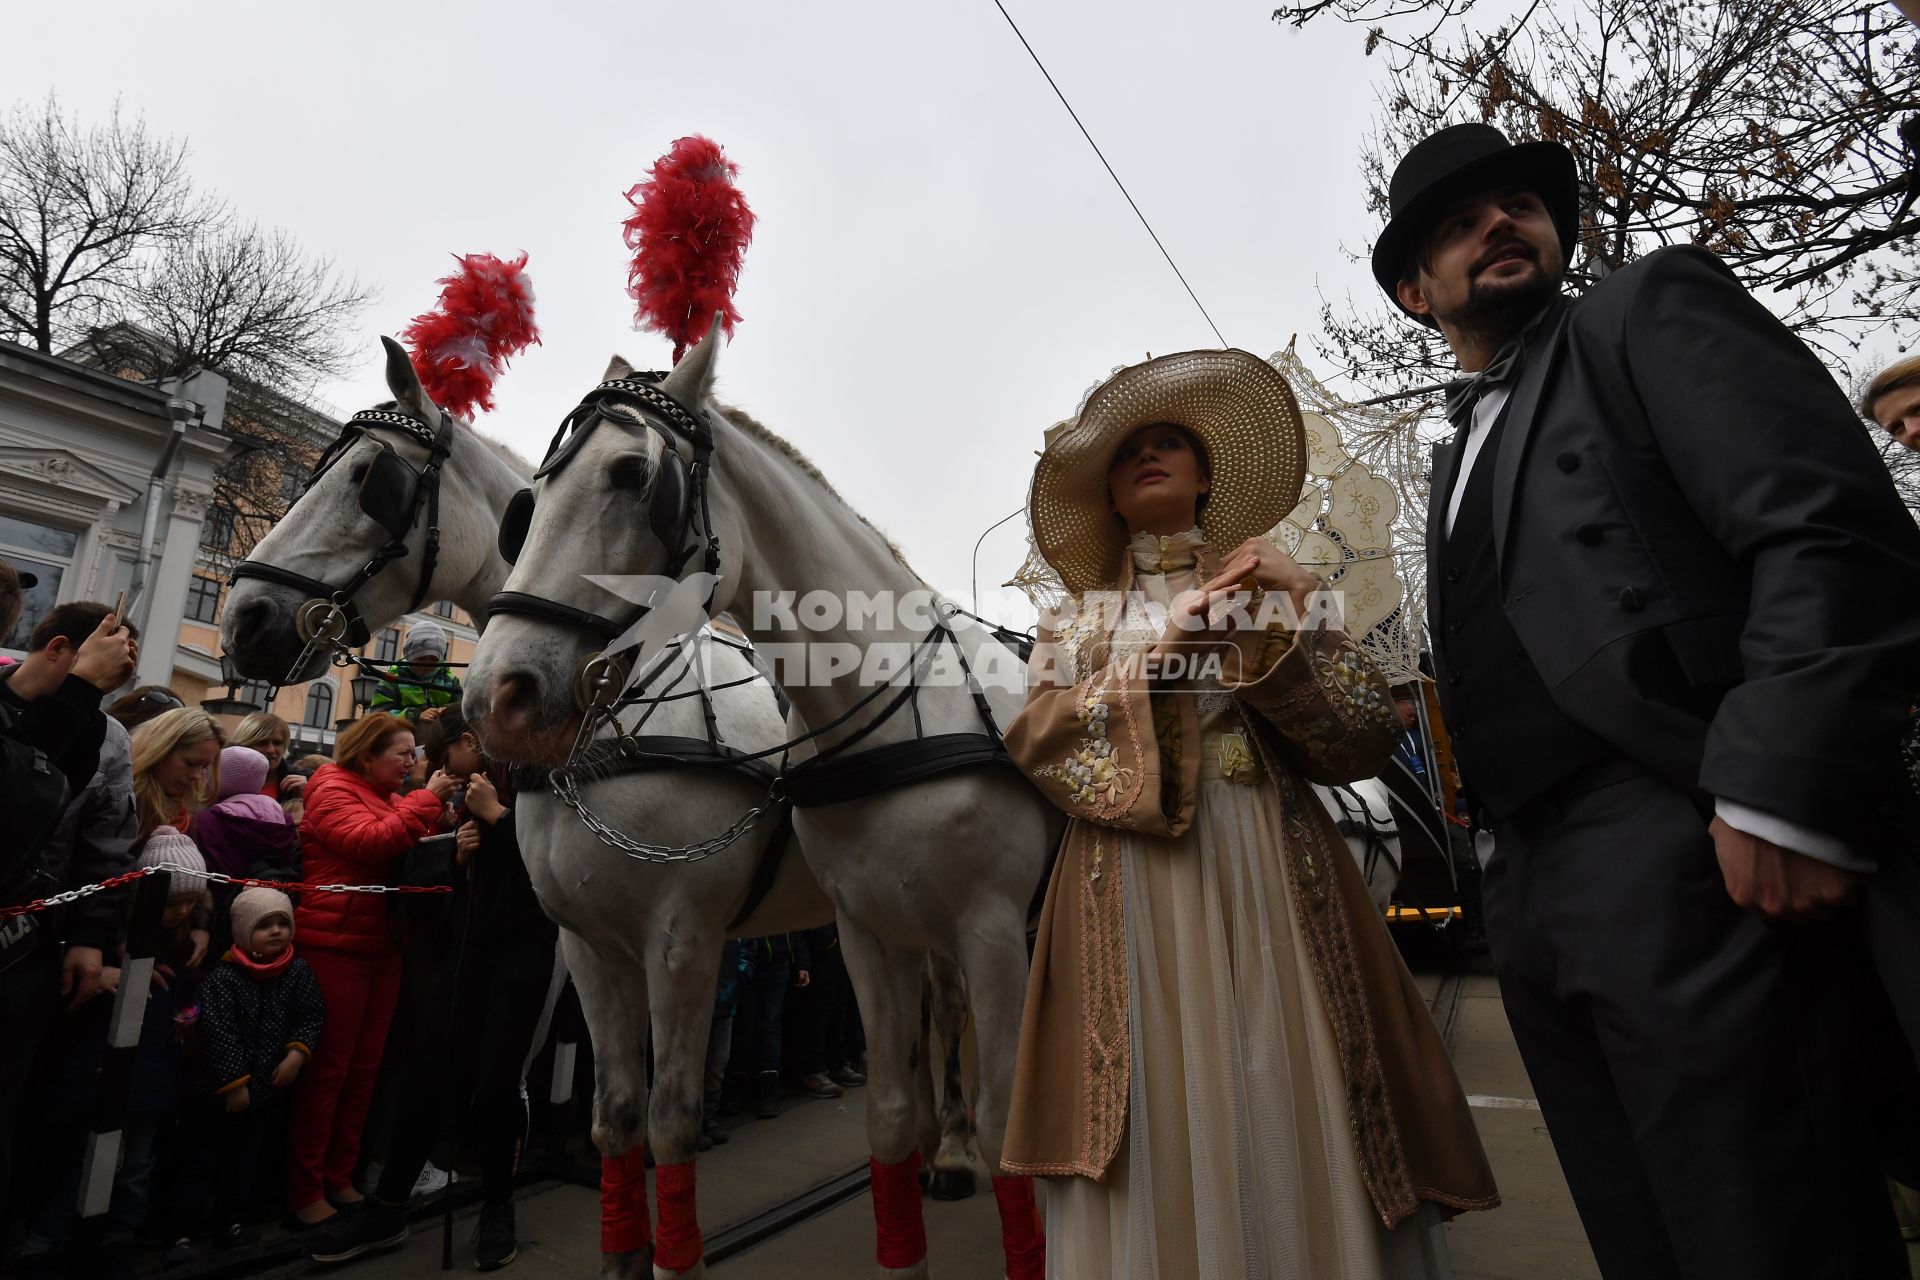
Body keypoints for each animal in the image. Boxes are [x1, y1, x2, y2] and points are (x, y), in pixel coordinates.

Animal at [466, 322, 1067, 1280]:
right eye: (530, 500)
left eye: (633, 477)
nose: (497, 695)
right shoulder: (614, 946)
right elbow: (631, 1122)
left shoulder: (695, 935)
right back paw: (947, 1153)